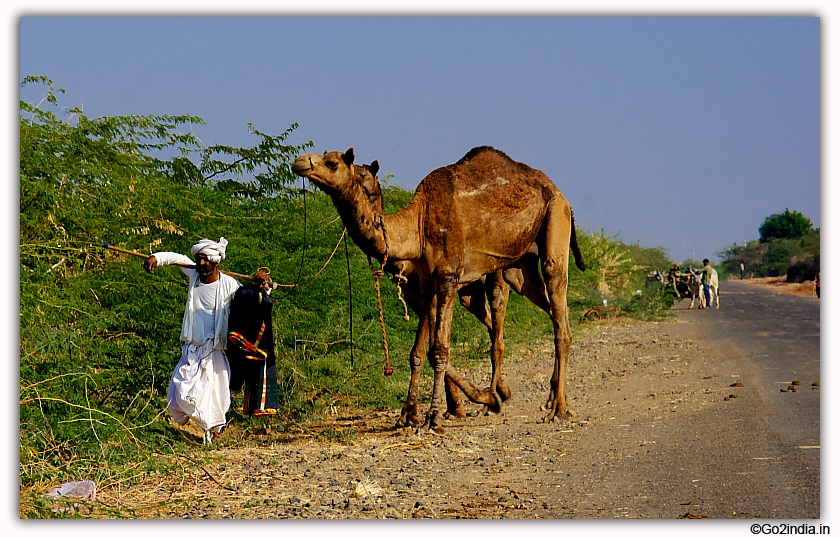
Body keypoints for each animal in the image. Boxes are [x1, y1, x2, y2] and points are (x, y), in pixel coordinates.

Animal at [296, 144, 584, 430]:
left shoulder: (446, 277)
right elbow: (419, 351)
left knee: (548, 299)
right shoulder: (427, 284)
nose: (300, 162)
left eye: (333, 164)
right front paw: (412, 415)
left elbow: (439, 350)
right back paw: (536, 397)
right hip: (519, 268)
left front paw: (434, 416)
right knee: (550, 313)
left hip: (554, 219)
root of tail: (560, 194)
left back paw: (556, 409)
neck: (418, 224)